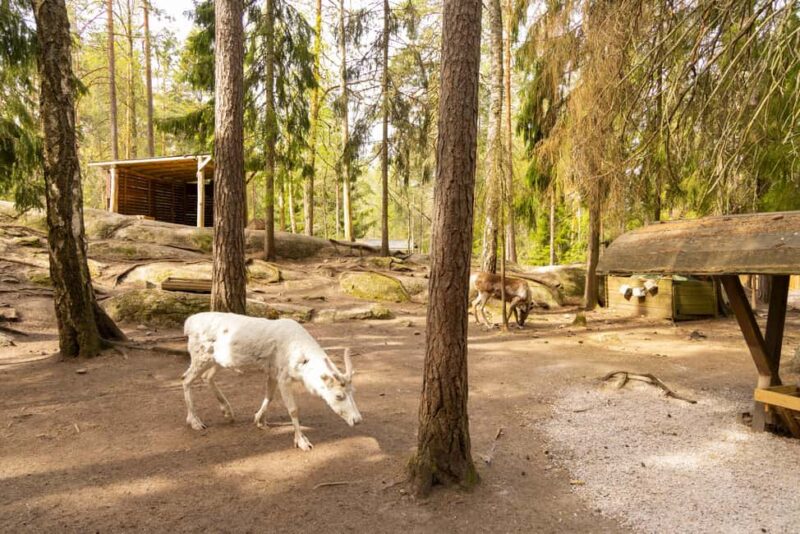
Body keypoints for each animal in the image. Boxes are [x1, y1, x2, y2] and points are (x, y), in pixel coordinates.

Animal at [182, 312, 362, 451]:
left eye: (353, 392)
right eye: (338, 396)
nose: (357, 420)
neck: (301, 368)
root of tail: (187, 323)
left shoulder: (273, 373)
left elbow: (269, 396)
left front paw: (259, 420)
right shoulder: (283, 376)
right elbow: (293, 409)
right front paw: (302, 442)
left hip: (217, 360)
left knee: (207, 377)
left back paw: (227, 411)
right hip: (200, 355)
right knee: (185, 379)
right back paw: (195, 421)